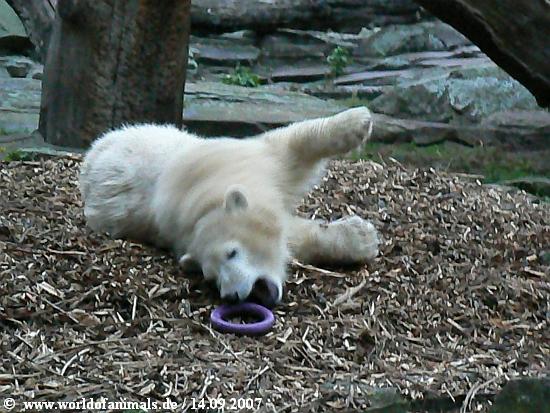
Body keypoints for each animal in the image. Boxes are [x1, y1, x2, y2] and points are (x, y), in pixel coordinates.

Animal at [79, 107, 379, 308]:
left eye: (231, 253)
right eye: (210, 277)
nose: (232, 295)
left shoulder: (237, 158)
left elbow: (285, 147)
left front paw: (358, 122)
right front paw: (361, 237)